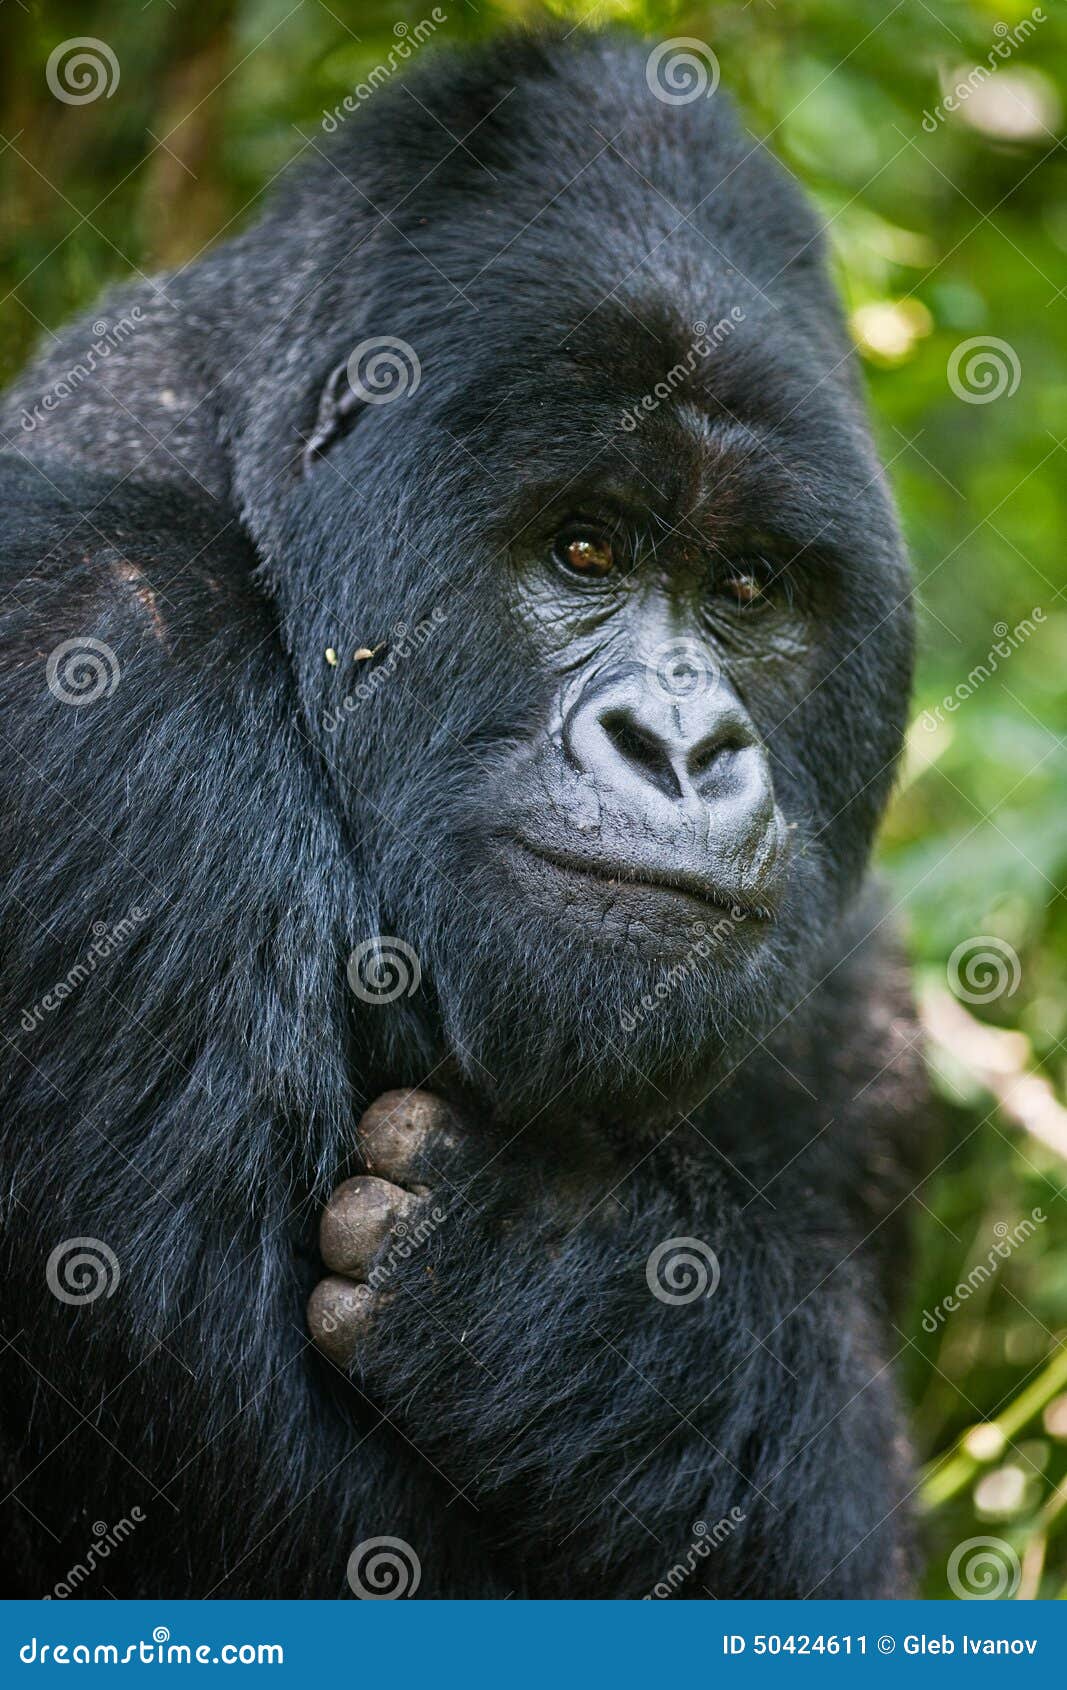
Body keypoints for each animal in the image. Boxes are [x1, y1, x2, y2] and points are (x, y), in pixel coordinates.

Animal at [0, 29, 926, 1595]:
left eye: (746, 586)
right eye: (584, 549)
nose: (679, 746)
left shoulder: (864, 1004)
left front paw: (580, 1304)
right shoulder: (95, 654)